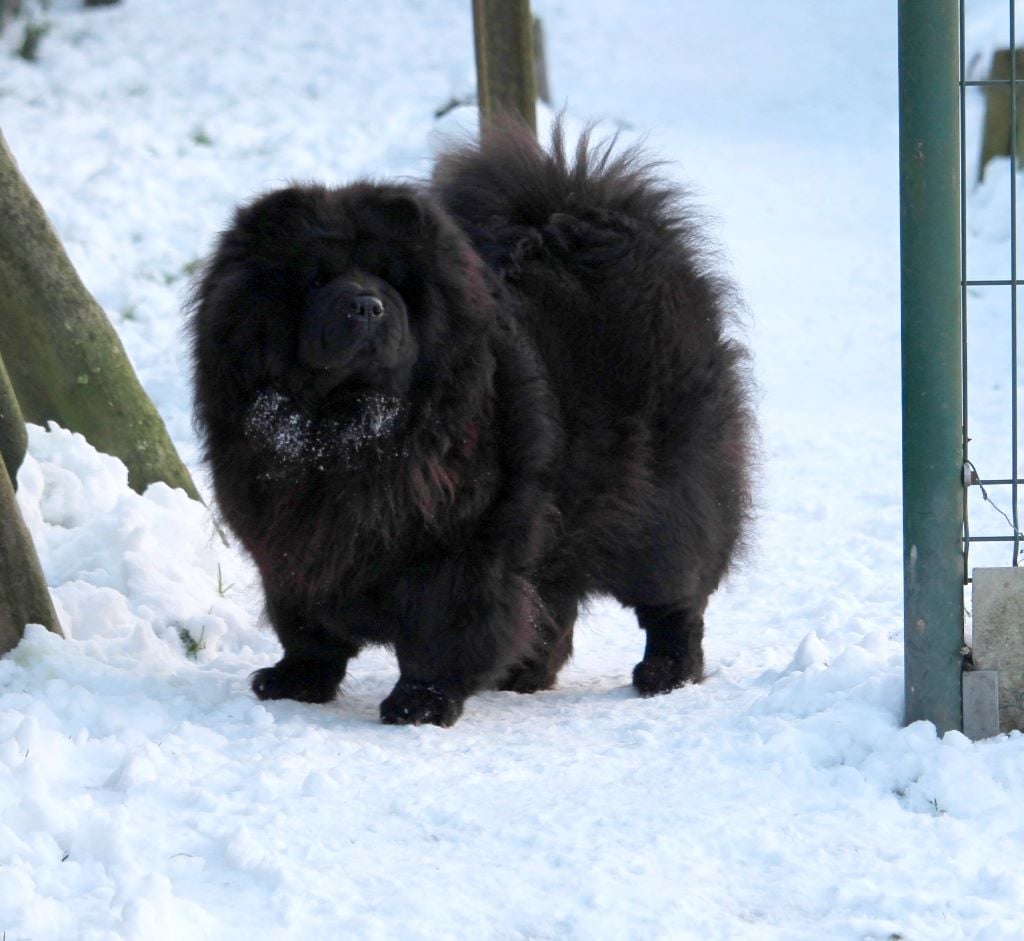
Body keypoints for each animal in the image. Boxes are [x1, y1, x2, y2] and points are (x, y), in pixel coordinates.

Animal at [190, 121, 753, 729]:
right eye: (316, 282)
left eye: (393, 282)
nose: (365, 305)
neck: (344, 430)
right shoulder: (288, 545)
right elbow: (305, 626)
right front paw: (296, 680)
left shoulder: (460, 544)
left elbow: (441, 628)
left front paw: (420, 703)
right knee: (552, 599)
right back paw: (525, 673)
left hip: (660, 506)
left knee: (674, 598)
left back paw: (666, 672)